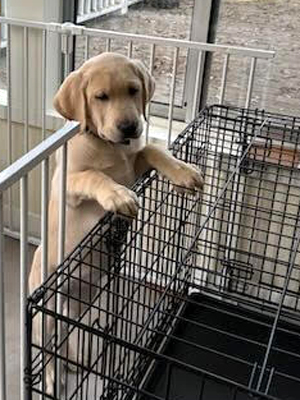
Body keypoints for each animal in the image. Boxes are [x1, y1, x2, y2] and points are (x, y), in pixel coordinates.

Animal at [28, 51, 204, 392]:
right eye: (101, 97)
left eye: (133, 91)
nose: (129, 126)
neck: (110, 146)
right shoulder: (67, 184)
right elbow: (94, 176)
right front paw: (117, 197)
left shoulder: (133, 169)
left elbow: (152, 149)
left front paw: (182, 171)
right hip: (46, 317)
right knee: (48, 351)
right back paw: (54, 378)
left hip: (85, 311)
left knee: (69, 343)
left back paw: (81, 364)